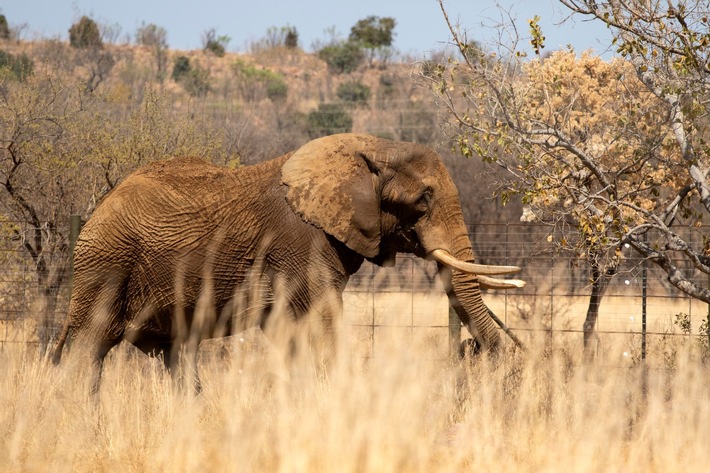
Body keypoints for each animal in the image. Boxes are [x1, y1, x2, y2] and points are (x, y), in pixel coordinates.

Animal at [51, 133, 524, 390]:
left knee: (178, 357)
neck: (372, 147)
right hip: (105, 265)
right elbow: (324, 323)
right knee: (87, 350)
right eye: (424, 198)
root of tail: (96, 211)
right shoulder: (301, 242)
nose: (474, 352)